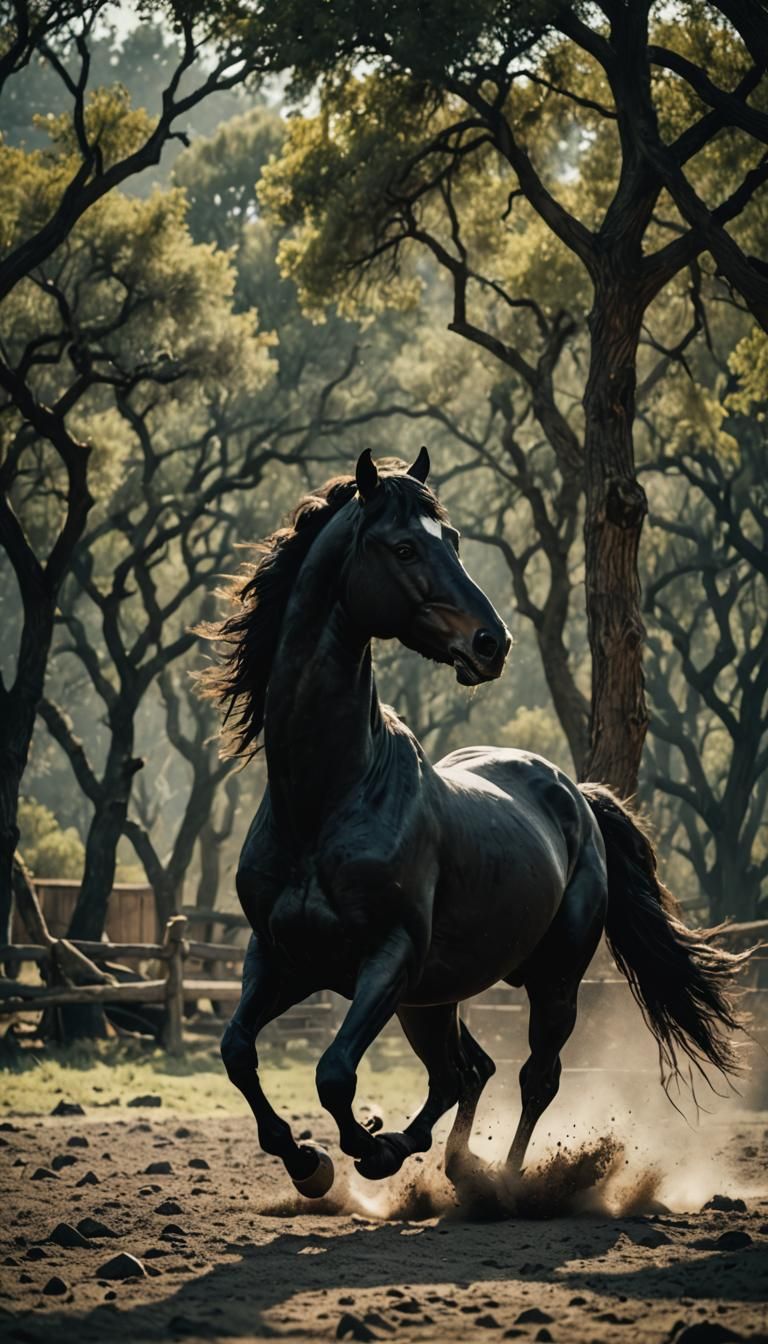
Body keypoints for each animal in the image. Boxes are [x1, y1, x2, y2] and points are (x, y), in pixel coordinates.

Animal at [202, 448, 744, 1200]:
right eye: (404, 546)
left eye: (454, 540)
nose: (493, 644)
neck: (325, 800)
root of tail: (576, 793)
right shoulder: (281, 957)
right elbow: (237, 1051)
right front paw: (311, 1162)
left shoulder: (388, 959)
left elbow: (334, 1073)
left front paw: (361, 1150)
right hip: (433, 998)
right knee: (467, 1072)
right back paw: (450, 1162)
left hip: (545, 982)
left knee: (530, 1077)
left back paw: (504, 1181)